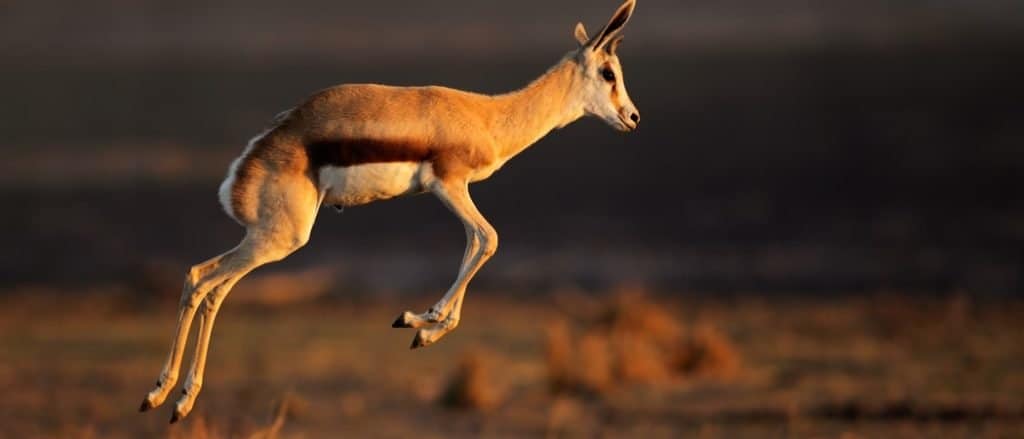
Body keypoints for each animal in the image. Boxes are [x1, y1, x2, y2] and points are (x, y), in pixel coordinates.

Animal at [142, 0, 638, 421]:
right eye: (608, 72)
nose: (632, 118)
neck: (488, 117)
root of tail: (251, 159)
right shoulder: (448, 185)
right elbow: (488, 240)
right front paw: (421, 320)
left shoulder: (453, 192)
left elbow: (473, 245)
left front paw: (422, 328)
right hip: (281, 238)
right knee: (204, 280)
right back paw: (168, 397)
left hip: (265, 238)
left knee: (208, 283)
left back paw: (170, 397)